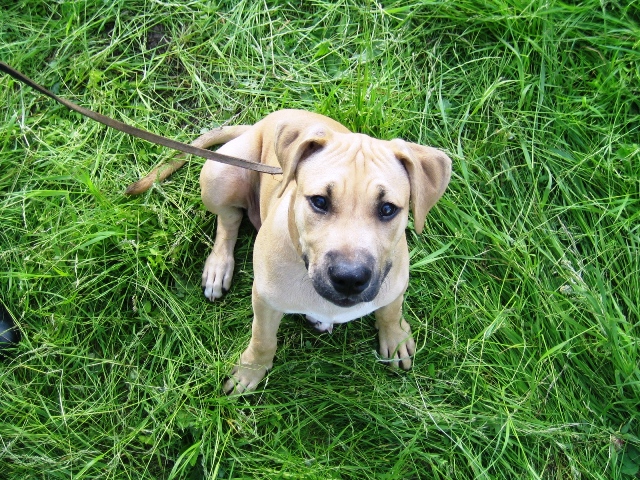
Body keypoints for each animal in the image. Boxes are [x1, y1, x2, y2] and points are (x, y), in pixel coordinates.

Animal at [128, 109, 451, 394]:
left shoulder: (396, 282)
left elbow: (391, 309)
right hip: (222, 174)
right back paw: (219, 267)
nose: (349, 279)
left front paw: (395, 337)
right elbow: (262, 339)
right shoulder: (265, 300)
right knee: (228, 220)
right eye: (319, 201)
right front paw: (251, 371)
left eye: (387, 209)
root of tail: (256, 125)